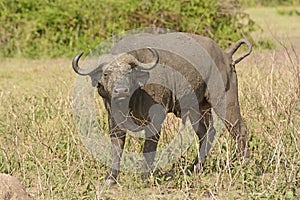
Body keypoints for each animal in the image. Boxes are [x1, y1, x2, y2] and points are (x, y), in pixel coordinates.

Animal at [71, 32, 252, 185]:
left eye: (129, 72)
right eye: (106, 74)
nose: (121, 91)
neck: (132, 98)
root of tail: (226, 55)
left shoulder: (156, 120)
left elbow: (148, 148)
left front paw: (145, 177)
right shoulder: (114, 120)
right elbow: (116, 148)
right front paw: (110, 179)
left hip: (225, 99)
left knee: (239, 129)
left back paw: (243, 165)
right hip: (198, 108)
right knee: (206, 133)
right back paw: (194, 169)